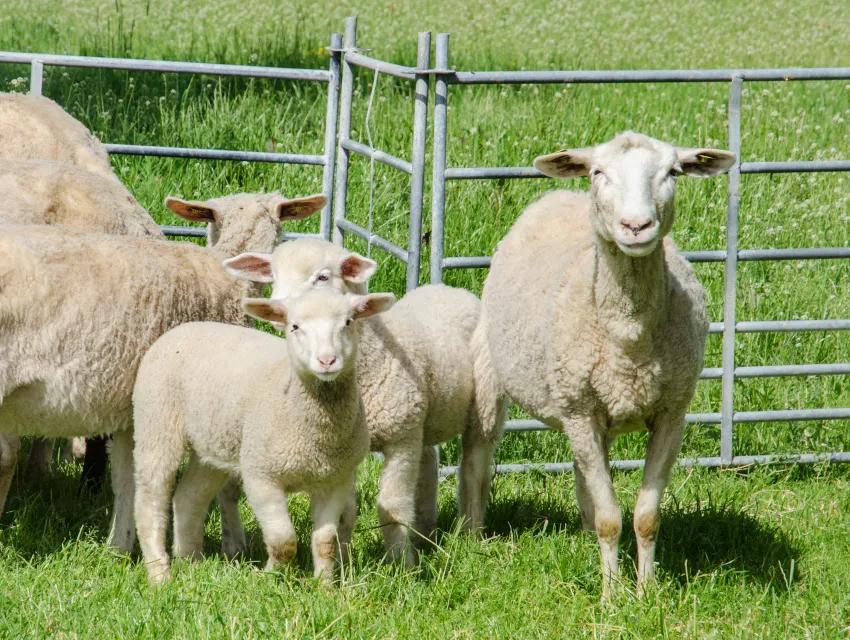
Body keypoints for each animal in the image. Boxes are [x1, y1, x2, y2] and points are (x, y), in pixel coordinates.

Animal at [0, 191, 326, 555]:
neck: (226, 278)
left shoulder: (130, 412)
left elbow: (128, 480)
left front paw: (119, 548)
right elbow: (225, 483)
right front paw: (234, 545)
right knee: (5, 457)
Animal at [133, 288, 395, 584]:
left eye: (348, 322)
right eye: (295, 326)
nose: (327, 361)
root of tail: (184, 328)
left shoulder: (335, 480)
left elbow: (325, 542)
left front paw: (325, 586)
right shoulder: (261, 476)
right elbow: (283, 541)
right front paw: (269, 576)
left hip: (213, 445)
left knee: (188, 498)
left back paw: (191, 564)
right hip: (156, 423)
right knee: (150, 501)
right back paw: (159, 575)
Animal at [224, 238, 498, 561]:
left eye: (322, 277)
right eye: (274, 276)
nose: (282, 311)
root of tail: (452, 290)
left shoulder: (400, 440)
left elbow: (392, 507)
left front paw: (401, 563)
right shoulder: (351, 447)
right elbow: (345, 513)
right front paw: (344, 561)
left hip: (484, 406)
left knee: (475, 469)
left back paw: (471, 534)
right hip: (424, 417)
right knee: (429, 462)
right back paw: (425, 532)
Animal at [472, 131, 734, 598]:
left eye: (672, 172)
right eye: (599, 172)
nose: (636, 227)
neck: (629, 337)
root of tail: (560, 193)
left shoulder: (671, 412)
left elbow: (646, 515)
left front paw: (647, 592)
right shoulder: (581, 411)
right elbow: (611, 519)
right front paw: (612, 596)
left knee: (585, 479)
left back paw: (583, 530)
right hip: (511, 379)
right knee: (483, 456)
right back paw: (474, 532)